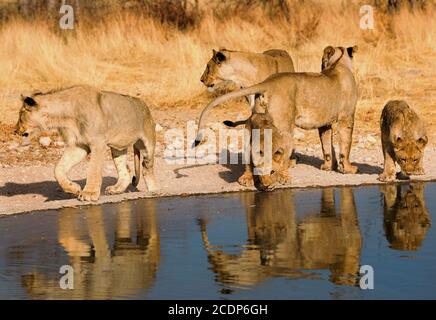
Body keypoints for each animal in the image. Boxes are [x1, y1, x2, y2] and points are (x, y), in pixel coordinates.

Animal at [15, 85, 158, 200]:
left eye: (21, 114)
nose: (15, 130)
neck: (62, 116)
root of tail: (144, 104)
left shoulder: (98, 143)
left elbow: (93, 169)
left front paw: (89, 193)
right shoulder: (78, 146)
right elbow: (58, 169)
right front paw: (73, 188)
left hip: (147, 143)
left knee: (147, 169)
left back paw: (154, 191)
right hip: (118, 148)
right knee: (126, 171)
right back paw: (115, 189)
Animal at [194, 45, 358, 190]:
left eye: (208, 67)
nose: (201, 79)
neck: (338, 63)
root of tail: (267, 82)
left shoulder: (325, 123)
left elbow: (326, 146)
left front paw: (327, 167)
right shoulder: (347, 117)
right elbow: (346, 144)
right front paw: (348, 169)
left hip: (253, 123)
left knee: (252, 154)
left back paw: (247, 178)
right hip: (284, 128)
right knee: (278, 157)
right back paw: (282, 176)